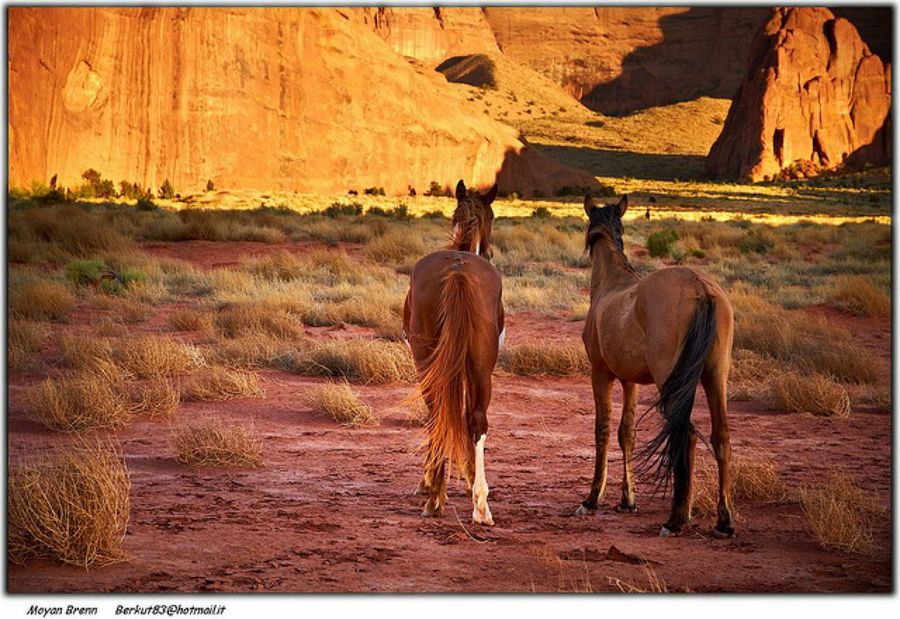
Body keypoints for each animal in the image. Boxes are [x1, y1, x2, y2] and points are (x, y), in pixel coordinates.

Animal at [402, 179, 503, 526]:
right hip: (480, 370)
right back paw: (481, 506)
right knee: (476, 421)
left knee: (438, 416)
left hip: (430, 364)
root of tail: (458, 272)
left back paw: (435, 497)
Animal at [576, 194, 736, 538]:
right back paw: (724, 521)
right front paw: (628, 500)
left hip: (672, 382)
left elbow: (603, 430)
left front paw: (592, 498)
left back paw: (676, 519)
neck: (611, 284)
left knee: (685, 435)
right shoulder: (630, 381)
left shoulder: (601, 374)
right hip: (715, 377)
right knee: (719, 437)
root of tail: (702, 288)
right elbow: (627, 433)